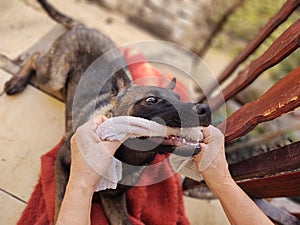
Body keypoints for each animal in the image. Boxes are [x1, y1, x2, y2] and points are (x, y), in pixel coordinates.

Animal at [4, 0, 211, 224]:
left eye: (180, 98)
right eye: (151, 100)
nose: (205, 109)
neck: (127, 156)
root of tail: (86, 27)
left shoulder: (113, 199)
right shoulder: (62, 163)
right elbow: (61, 202)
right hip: (54, 77)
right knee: (35, 58)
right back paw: (17, 80)